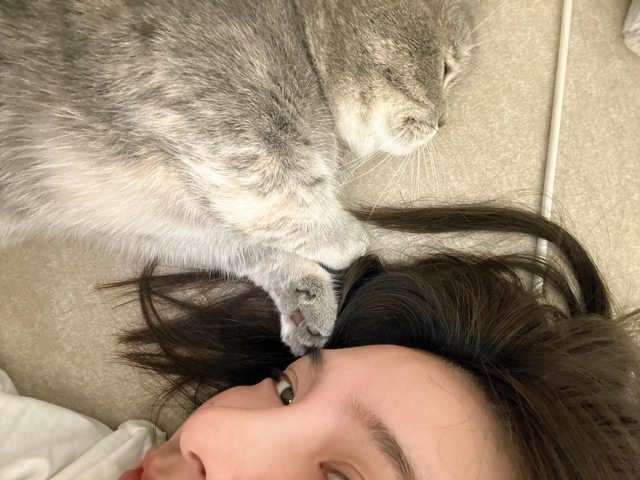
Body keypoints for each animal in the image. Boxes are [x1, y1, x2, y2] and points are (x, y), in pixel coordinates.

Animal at [0, 0, 474, 355]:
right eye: (447, 68)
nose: (443, 121)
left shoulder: (152, 220)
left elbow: (246, 245)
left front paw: (306, 295)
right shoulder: (231, 132)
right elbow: (293, 199)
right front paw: (353, 240)